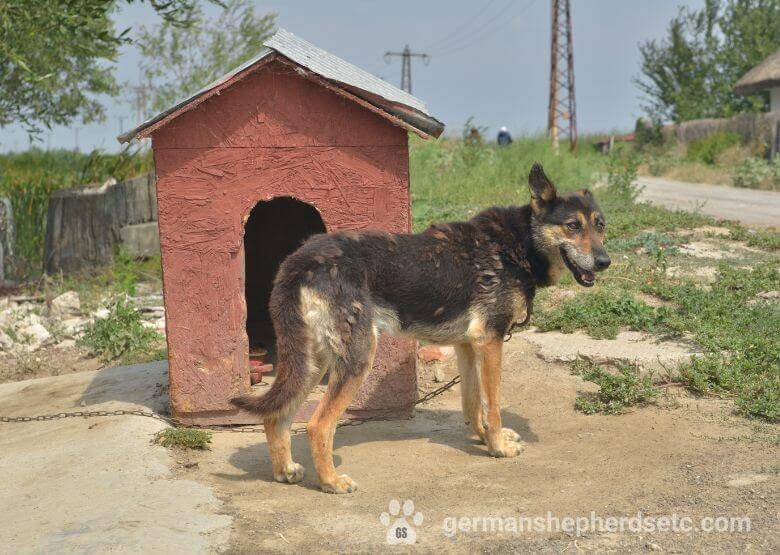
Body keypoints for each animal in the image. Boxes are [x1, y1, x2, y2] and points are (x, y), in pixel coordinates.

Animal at [232, 163, 608, 494]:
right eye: (572, 226)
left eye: (601, 225)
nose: (605, 261)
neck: (518, 243)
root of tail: (299, 261)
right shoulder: (491, 342)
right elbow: (494, 404)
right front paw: (498, 446)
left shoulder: (468, 345)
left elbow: (474, 403)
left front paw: (483, 437)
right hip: (356, 358)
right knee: (317, 425)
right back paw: (331, 482)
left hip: (313, 360)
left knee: (276, 416)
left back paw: (285, 470)